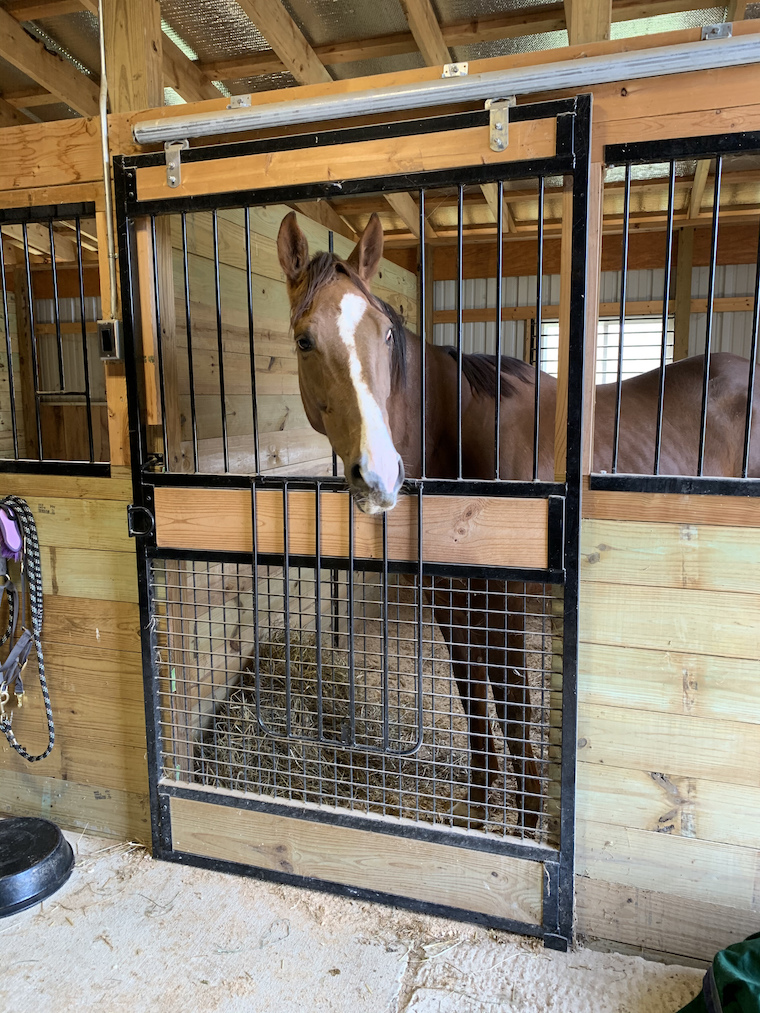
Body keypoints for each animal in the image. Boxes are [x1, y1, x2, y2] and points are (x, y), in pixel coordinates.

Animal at [277, 209, 760, 834]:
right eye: (304, 339)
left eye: (384, 334)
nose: (380, 475)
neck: (458, 437)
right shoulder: (451, 603)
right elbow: (475, 705)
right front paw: (480, 813)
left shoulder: (505, 603)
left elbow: (511, 702)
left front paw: (529, 816)